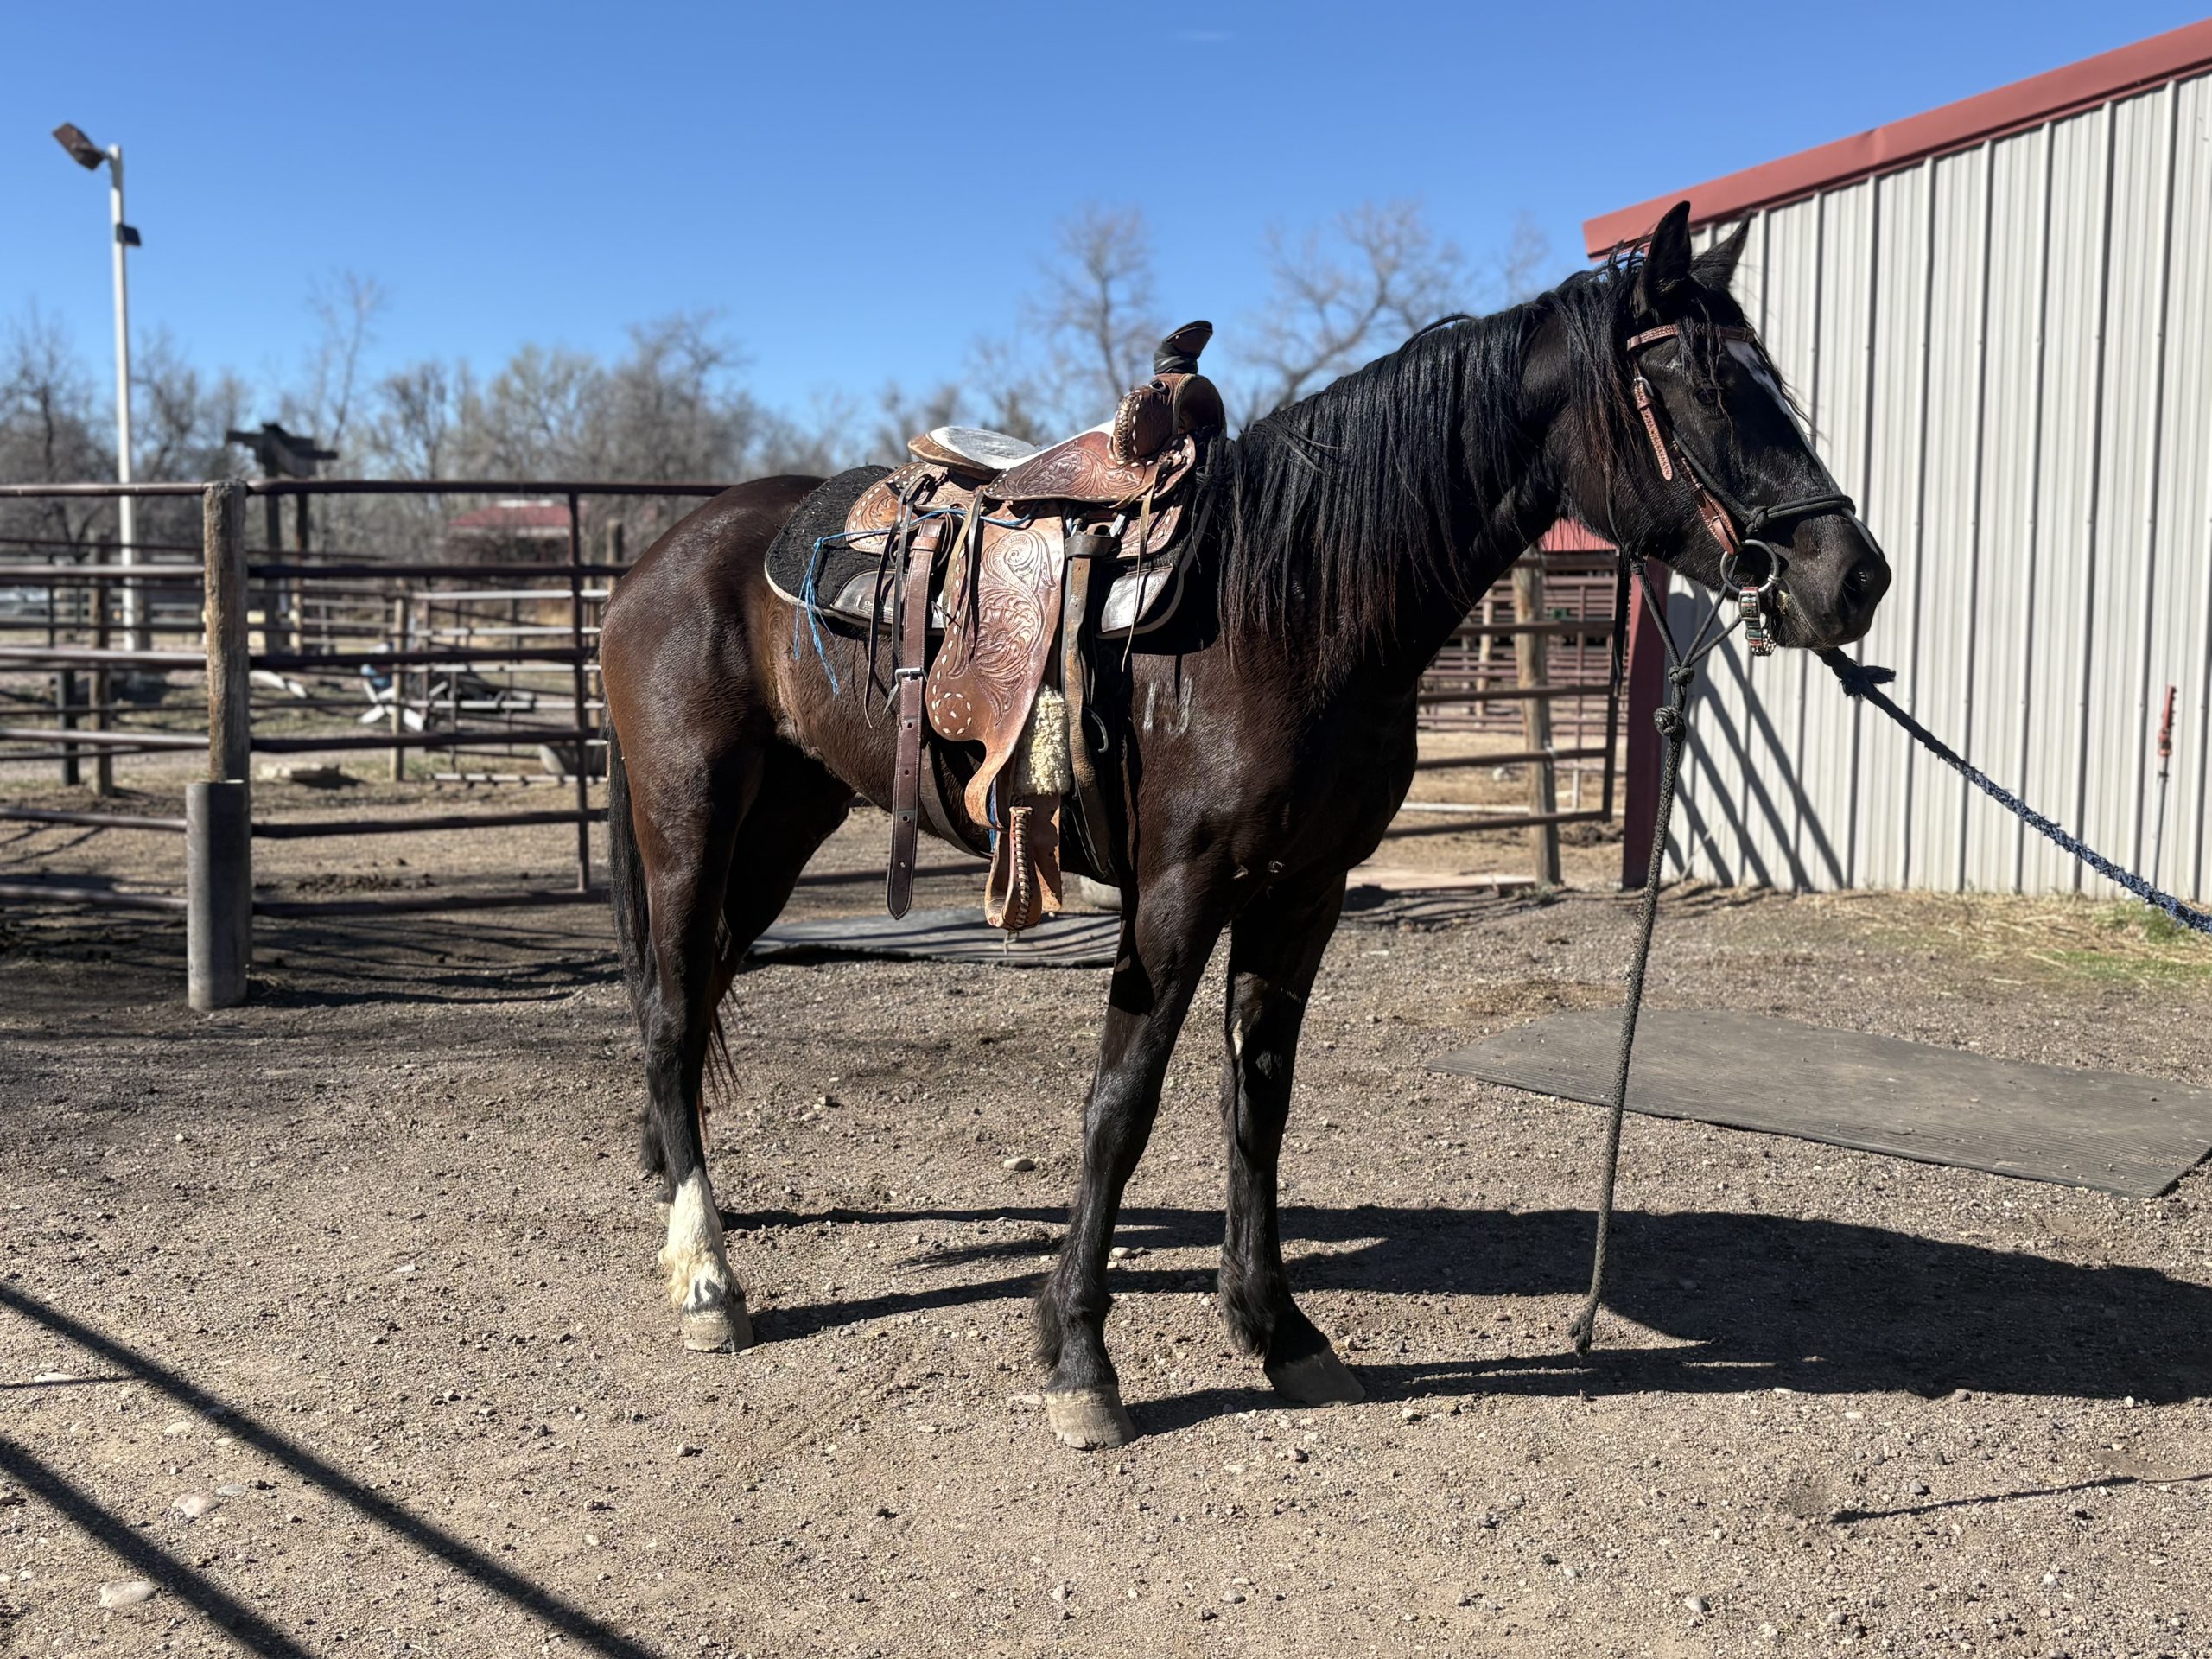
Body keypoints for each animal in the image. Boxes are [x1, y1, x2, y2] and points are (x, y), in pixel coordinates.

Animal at [596, 202, 1892, 1448]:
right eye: (1703, 386)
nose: (1855, 578)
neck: (1292, 606)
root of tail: (660, 555)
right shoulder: (1180, 891)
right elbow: (1122, 1105)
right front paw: (1081, 1359)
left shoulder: (1303, 890)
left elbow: (1257, 1100)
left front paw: (1279, 1332)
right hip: (691, 819)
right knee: (669, 1011)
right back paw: (708, 1278)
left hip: (783, 823)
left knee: (700, 996)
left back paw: (685, 1197)